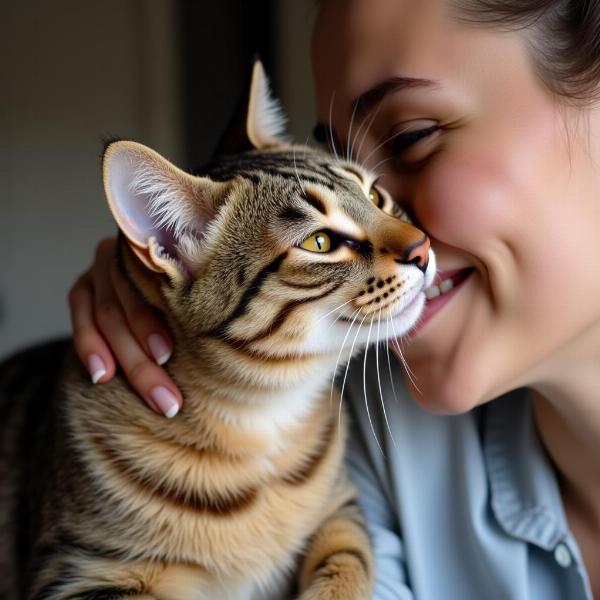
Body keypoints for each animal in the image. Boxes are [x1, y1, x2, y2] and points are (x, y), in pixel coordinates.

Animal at [0, 62, 434, 600]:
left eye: (375, 196)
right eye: (320, 242)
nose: (424, 247)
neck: (259, 420)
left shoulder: (342, 513)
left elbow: (348, 565)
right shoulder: (81, 572)